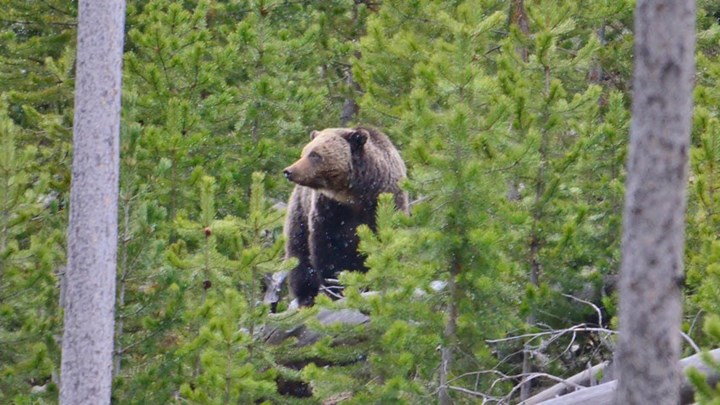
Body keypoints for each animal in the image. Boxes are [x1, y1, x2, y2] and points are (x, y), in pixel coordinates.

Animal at [282, 125, 408, 304]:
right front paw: (336, 287)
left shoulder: (385, 202)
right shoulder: (329, 209)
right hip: (299, 214)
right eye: (304, 152)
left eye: (314, 154)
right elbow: (327, 249)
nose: (289, 171)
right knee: (299, 257)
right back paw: (306, 297)